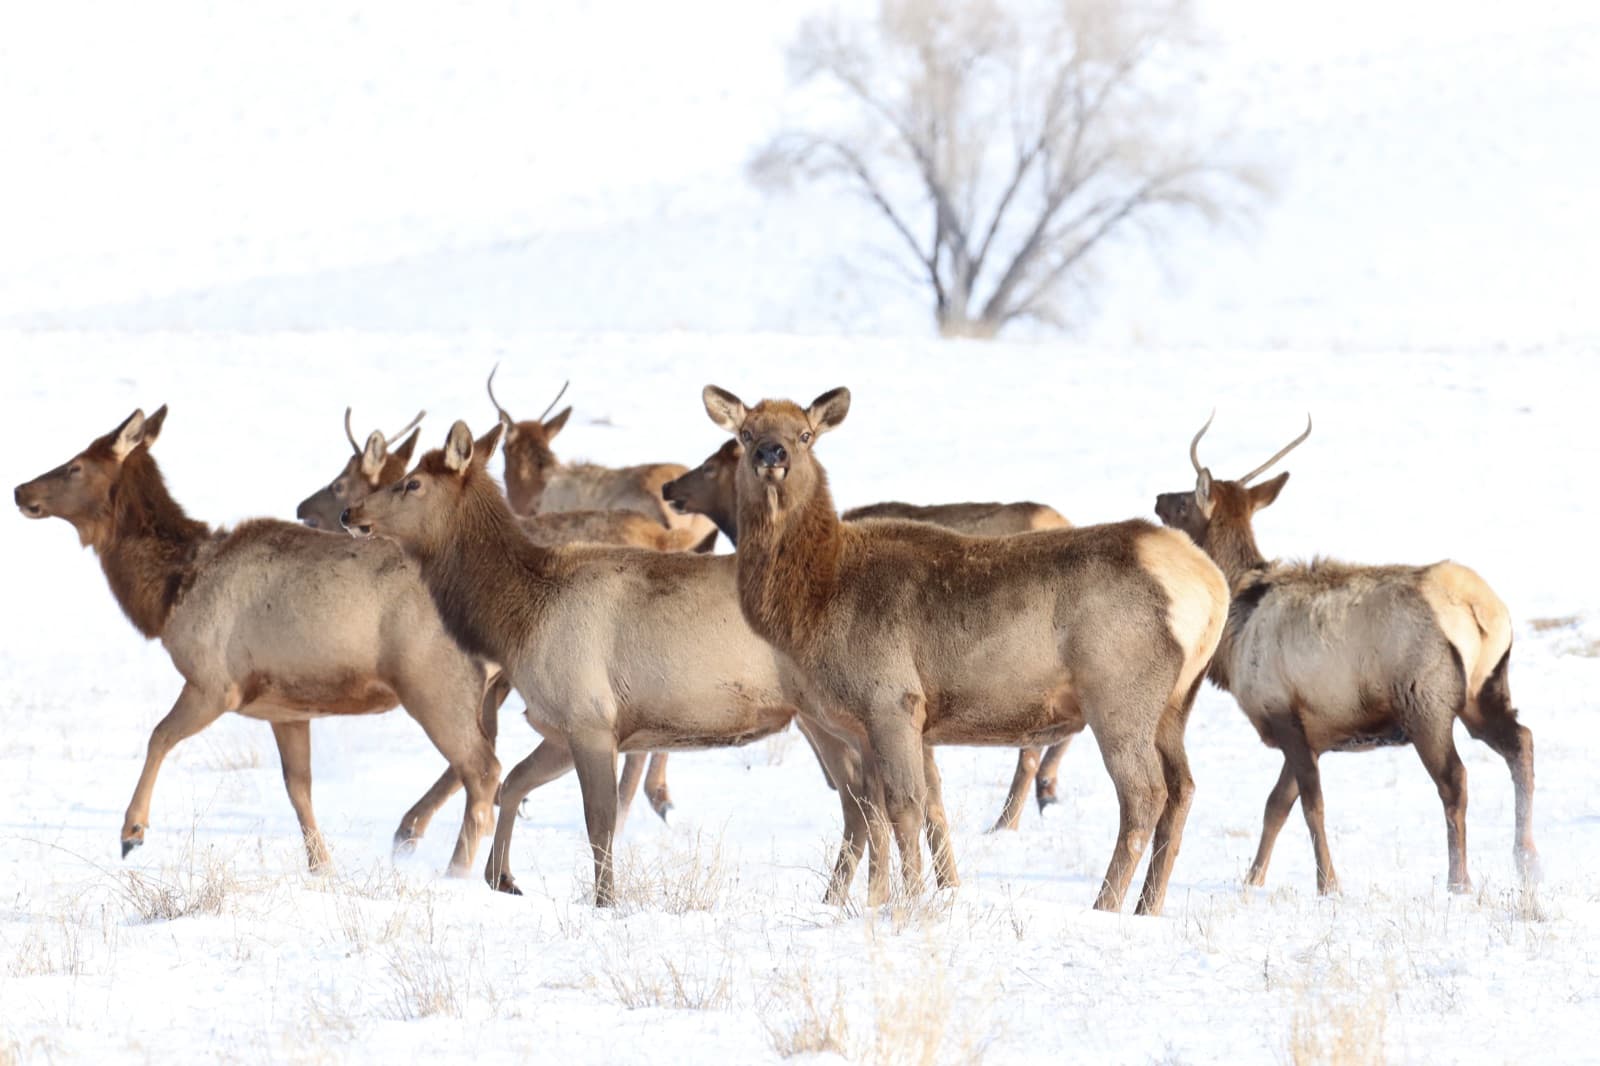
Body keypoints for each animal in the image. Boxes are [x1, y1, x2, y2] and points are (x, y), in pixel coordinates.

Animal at [13, 406, 500, 875]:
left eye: (75, 466)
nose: (19, 490)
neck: (170, 592)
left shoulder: (215, 682)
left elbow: (158, 736)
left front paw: (132, 832)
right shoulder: (285, 707)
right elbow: (298, 787)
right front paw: (321, 866)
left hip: (432, 682)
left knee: (483, 769)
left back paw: (455, 869)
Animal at [344, 421, 892, 906]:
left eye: (411, 482)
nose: (350, 511)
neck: (517, 619)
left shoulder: (589, 717)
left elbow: (599, 822)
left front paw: (605, 900)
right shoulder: (564, 726)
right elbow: (514, 783)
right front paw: (502, 877)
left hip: (830, 710)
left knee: (863, 799)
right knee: (860, 801)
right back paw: (835, 896)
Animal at [1154, 414, 1538, 894]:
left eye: (1185, 502)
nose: (1158, 499)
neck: (1237, 622)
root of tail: (1480, 608)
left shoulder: (1285, 712)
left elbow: (1310, 806)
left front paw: (1328, 884)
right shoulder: (1313, 731)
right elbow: (1275, 806)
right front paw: (1253, 879)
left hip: (1426, 700)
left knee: (1456, 779)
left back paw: (1459, 881)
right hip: (1484, 690)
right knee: (1521, 742)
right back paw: (1527, 861)